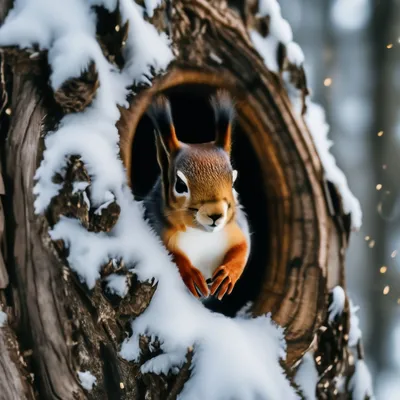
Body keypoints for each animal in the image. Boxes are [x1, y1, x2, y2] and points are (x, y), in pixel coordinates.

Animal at [144, 90, 250, 300]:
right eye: (180, 185)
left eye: (233, 181)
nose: (216, 215)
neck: (202, 234)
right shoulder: (157, 226)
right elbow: (173, 256)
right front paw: (191, 274)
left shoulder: (235, 228)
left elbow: (242, 249)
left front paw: (228, 274)